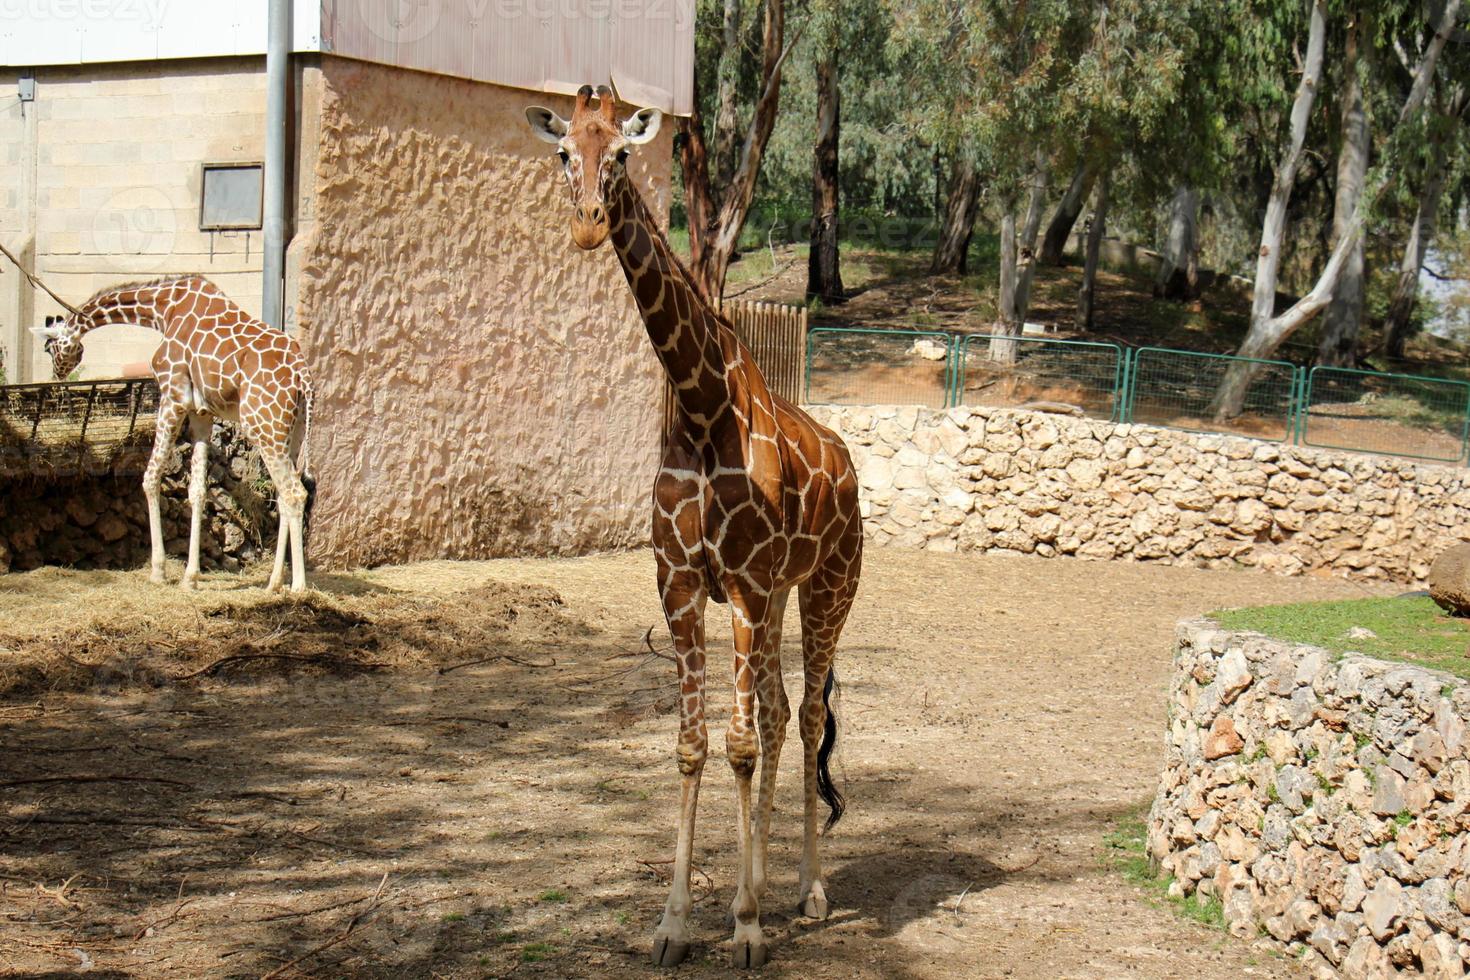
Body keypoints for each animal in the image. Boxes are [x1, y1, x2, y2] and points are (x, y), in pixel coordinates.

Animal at [33, 277, 313, 599]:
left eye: (48, 347)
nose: (58, 373)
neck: (162, 309)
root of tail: (303, 376)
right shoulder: (201, 413)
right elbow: (198, 491)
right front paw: (190, 577)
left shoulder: (172, 397)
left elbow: (151, 476)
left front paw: (158, 571)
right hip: (292, 433)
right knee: (283, 495)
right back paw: (274, 582)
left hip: (263, 427)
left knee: (294, 493)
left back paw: (298, 586)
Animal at [526, 88, 858, 969]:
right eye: (564, 153)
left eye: (621, 155)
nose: (588, 224)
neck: (704, 413)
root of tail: (846, 459)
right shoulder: (680, 584)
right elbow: (694, 743)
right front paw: (676, 923)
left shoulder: (740, 585)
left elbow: (736, 743)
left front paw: (741, 927)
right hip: (777, 598)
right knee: (776, 711)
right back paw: (768, 880)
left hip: (827, 587)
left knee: (806, 717)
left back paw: (807, 893)